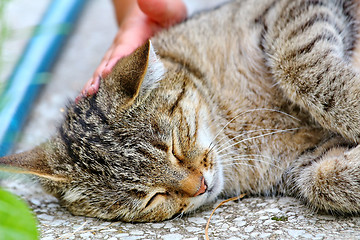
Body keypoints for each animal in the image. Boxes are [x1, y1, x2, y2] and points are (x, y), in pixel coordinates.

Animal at [0, 0, 360, 222]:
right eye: (151, 198)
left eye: (173, 145)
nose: (200, 185)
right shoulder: (304, 161)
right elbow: (325, 180)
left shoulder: (289, 14)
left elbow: (303, 70)